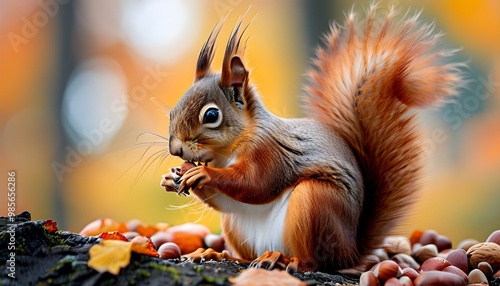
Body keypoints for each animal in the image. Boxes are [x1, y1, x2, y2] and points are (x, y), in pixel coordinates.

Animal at [160, 5, 460, 272]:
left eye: (211, 115)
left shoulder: (271, 152)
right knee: (246, 254)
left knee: (316, 262)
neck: (226, 153)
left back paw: (283, 260)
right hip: (237, 227)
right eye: (172, 110)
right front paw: (172, 178)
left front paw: (203, 175)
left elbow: (256, 184)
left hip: (315, 202)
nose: (176, 149)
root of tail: (351, 250)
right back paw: (219, 254)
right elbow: (228, 201)